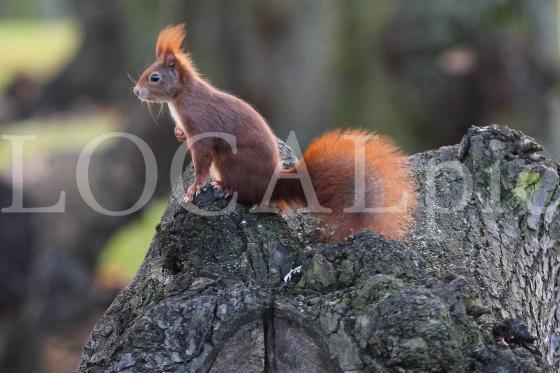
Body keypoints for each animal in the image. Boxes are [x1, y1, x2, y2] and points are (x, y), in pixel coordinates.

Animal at [135, 25, 416, 241]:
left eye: (155, 77)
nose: (136, 91)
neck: (184, 96)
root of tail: (271, 185)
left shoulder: (202, 127)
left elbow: (201, 161)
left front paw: (194, 188)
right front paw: (178, 133)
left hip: (231, 161)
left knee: (247, 196)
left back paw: (225, 188)